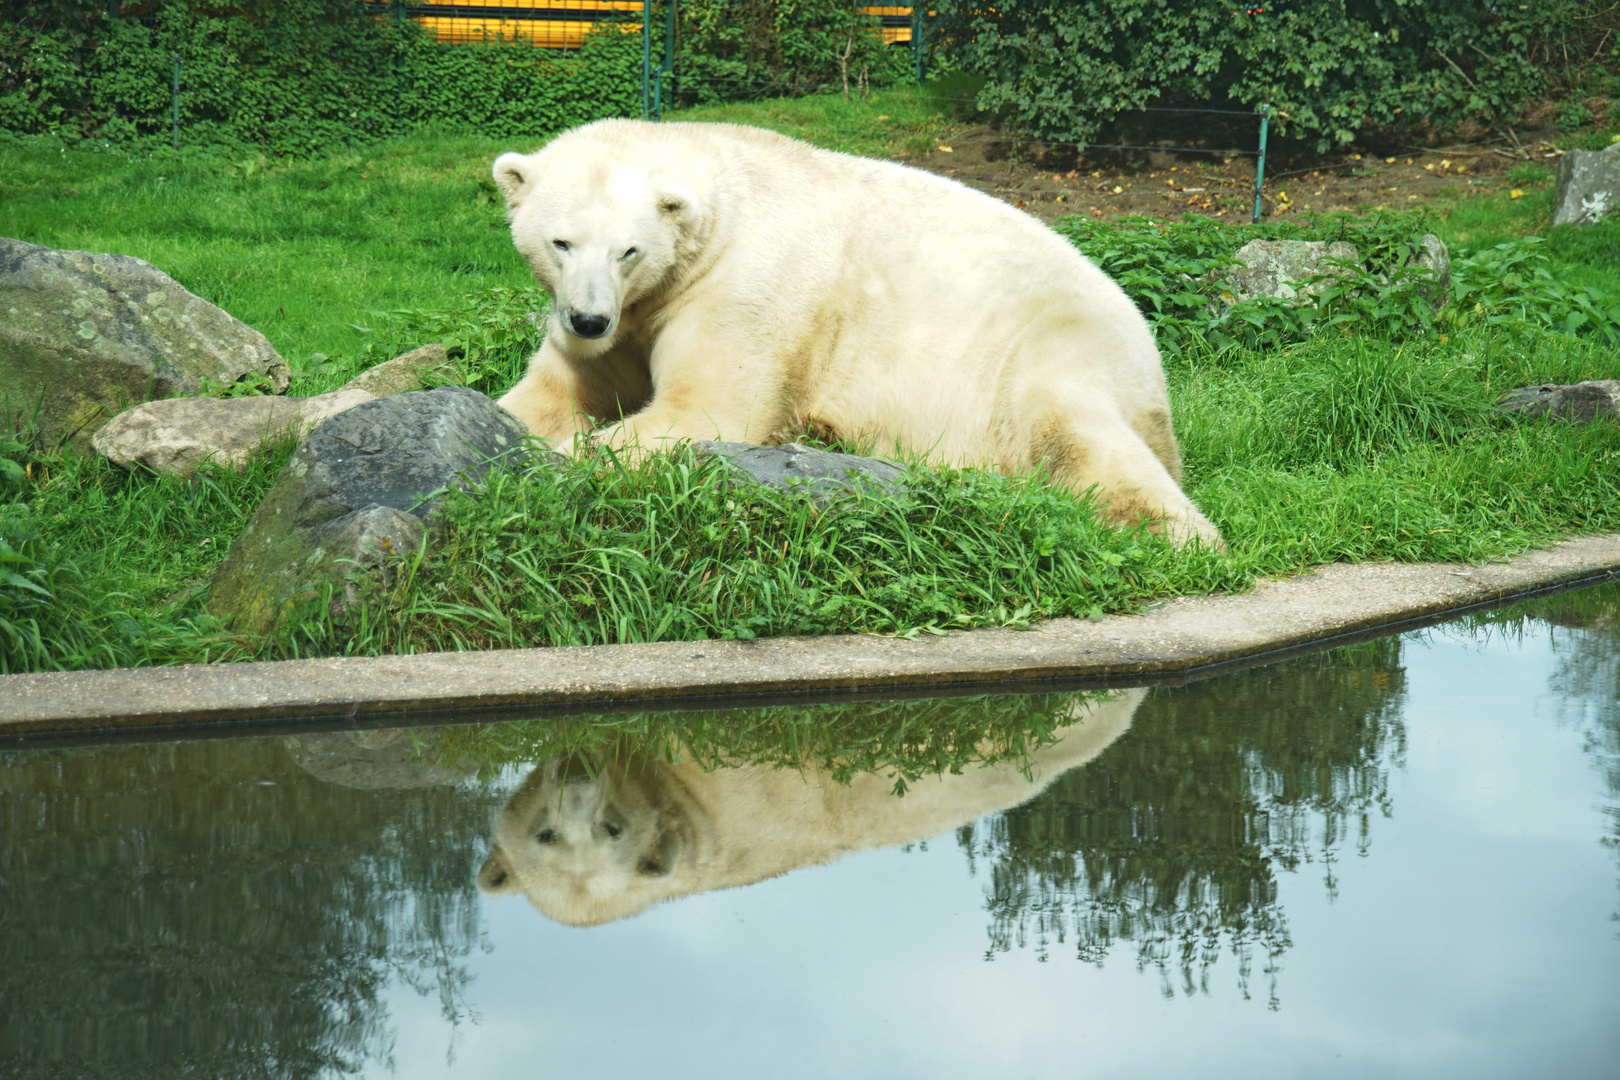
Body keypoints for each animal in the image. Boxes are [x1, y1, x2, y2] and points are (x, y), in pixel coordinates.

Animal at [486, 120, 1218, 550]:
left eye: (629, 250)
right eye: (561, 242)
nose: (588, 320)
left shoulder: (740, 291)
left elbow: (706, 411)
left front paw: (559, 459)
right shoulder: (631, 319)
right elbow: (555, 391)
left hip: (1050, 344)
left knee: (1075, 431)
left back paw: (1169, 530)